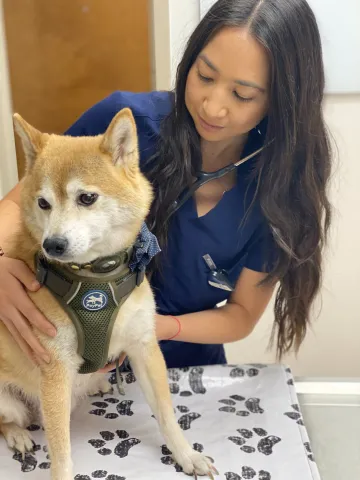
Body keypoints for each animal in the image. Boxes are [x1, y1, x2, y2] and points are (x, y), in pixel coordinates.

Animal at [0, 109, 217, 480]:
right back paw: (17, 435)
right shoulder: (55, 369)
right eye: (43, 203)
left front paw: (187, 455)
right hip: (8, 399)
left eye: (86, 198)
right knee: (8, 421)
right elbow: (60, 450)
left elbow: (167, 414)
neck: (96, 281)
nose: (52, 245)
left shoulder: (143, 346)